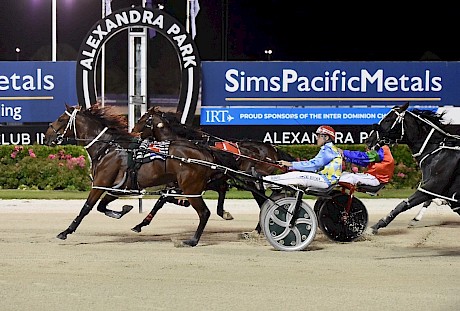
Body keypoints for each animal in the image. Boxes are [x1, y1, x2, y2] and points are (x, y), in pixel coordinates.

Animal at [43, 105, 228, 249]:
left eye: (60, 119)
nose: (47, 136)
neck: (107, 148)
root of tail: (206, 152)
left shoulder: (100, 184)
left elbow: (87, 208)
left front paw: (65, 232)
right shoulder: (118, 188)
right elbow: (102, 207)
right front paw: (124, 210)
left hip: (191, 188)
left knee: (204, 212)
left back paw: (192, 241)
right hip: (199, 184)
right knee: (220, 190)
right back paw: (222, 213)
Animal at [366, 103, 460, 235]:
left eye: (388, 120)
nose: (368, 140)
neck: (438, 151)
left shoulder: (433, 186)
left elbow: (404, 204)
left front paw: (376, 226)